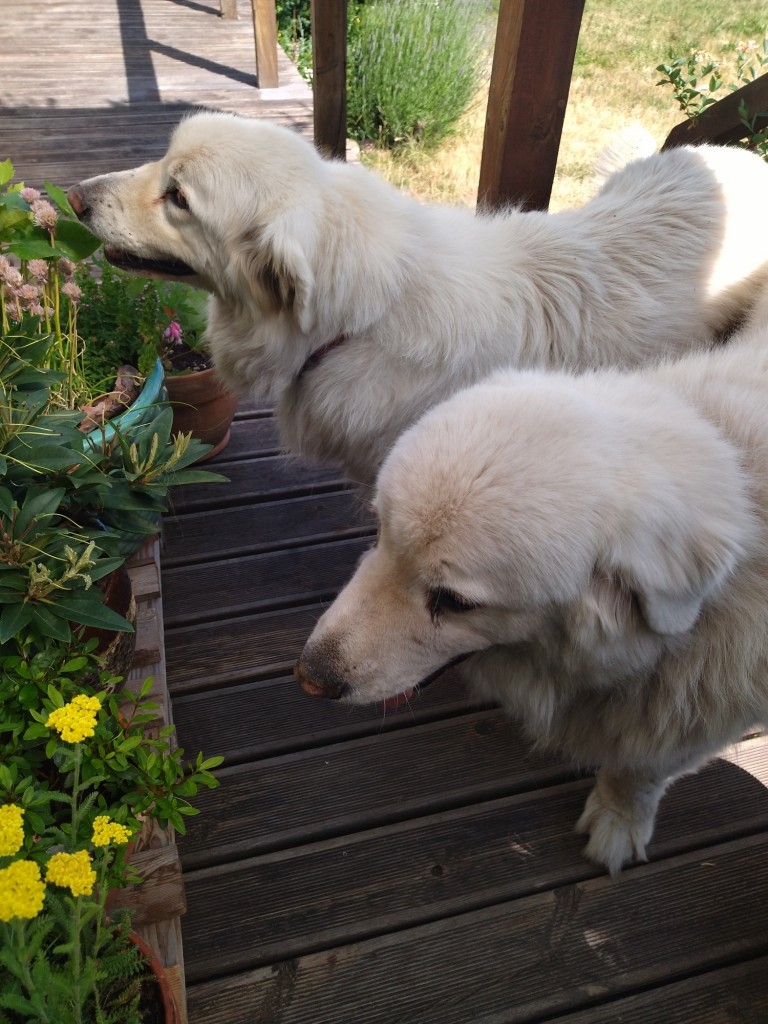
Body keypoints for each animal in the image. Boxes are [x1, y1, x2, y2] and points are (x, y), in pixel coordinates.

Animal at [296, 311, 768, 872]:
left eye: (455, 602)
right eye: (379, 532)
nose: (310, 678)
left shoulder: (692, 726)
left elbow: (641, 770)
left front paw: (619, 820)